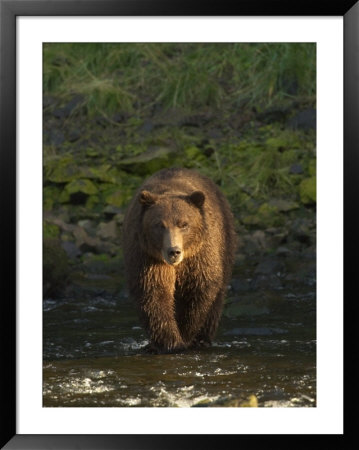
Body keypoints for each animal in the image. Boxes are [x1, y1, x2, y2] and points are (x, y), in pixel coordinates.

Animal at [122, 167, 238, 354]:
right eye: (159, 225)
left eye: (184, 224)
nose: (174, 251)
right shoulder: (147, 256)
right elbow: (153, 292)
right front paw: (169, 343)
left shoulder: (199, 256)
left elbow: (198, 289)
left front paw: (184, 335)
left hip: (225, 242)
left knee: (218, 294)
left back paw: (202, 339)